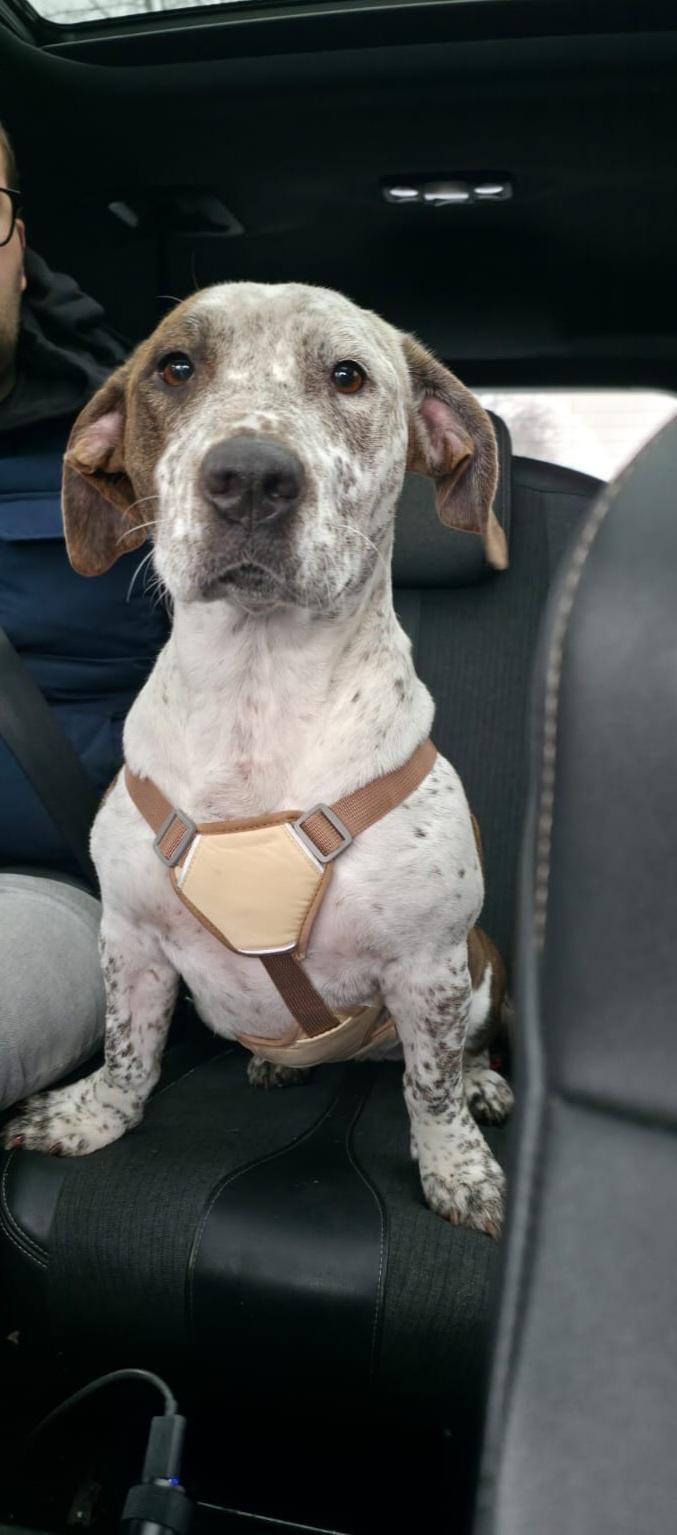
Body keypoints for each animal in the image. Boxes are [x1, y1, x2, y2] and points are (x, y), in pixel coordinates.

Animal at [3, 282, 513, 1236]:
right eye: (175, 366)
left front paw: (456, 1168)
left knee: (457, 1056)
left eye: (348, 375)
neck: (255, 692)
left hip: (481, 963)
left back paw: (485, 1083)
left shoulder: (428, 963)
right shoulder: (129, 939)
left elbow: (429, 1089)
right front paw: (93, 1118)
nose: (248, 478)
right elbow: (129, 1052)